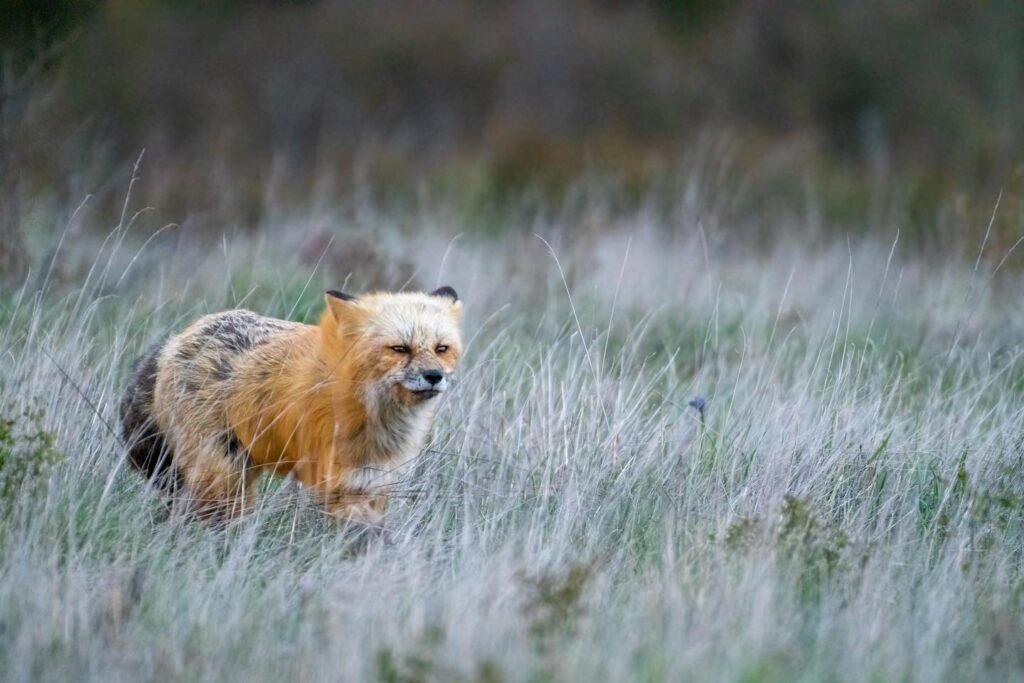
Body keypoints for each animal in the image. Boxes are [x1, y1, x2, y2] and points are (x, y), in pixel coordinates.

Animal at [119, 286, 463, 523]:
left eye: (441, 348)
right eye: (399, 348)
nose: (433, 376)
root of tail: (178, 337)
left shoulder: (372, 479)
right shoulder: (338, 475)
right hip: (222, 472)